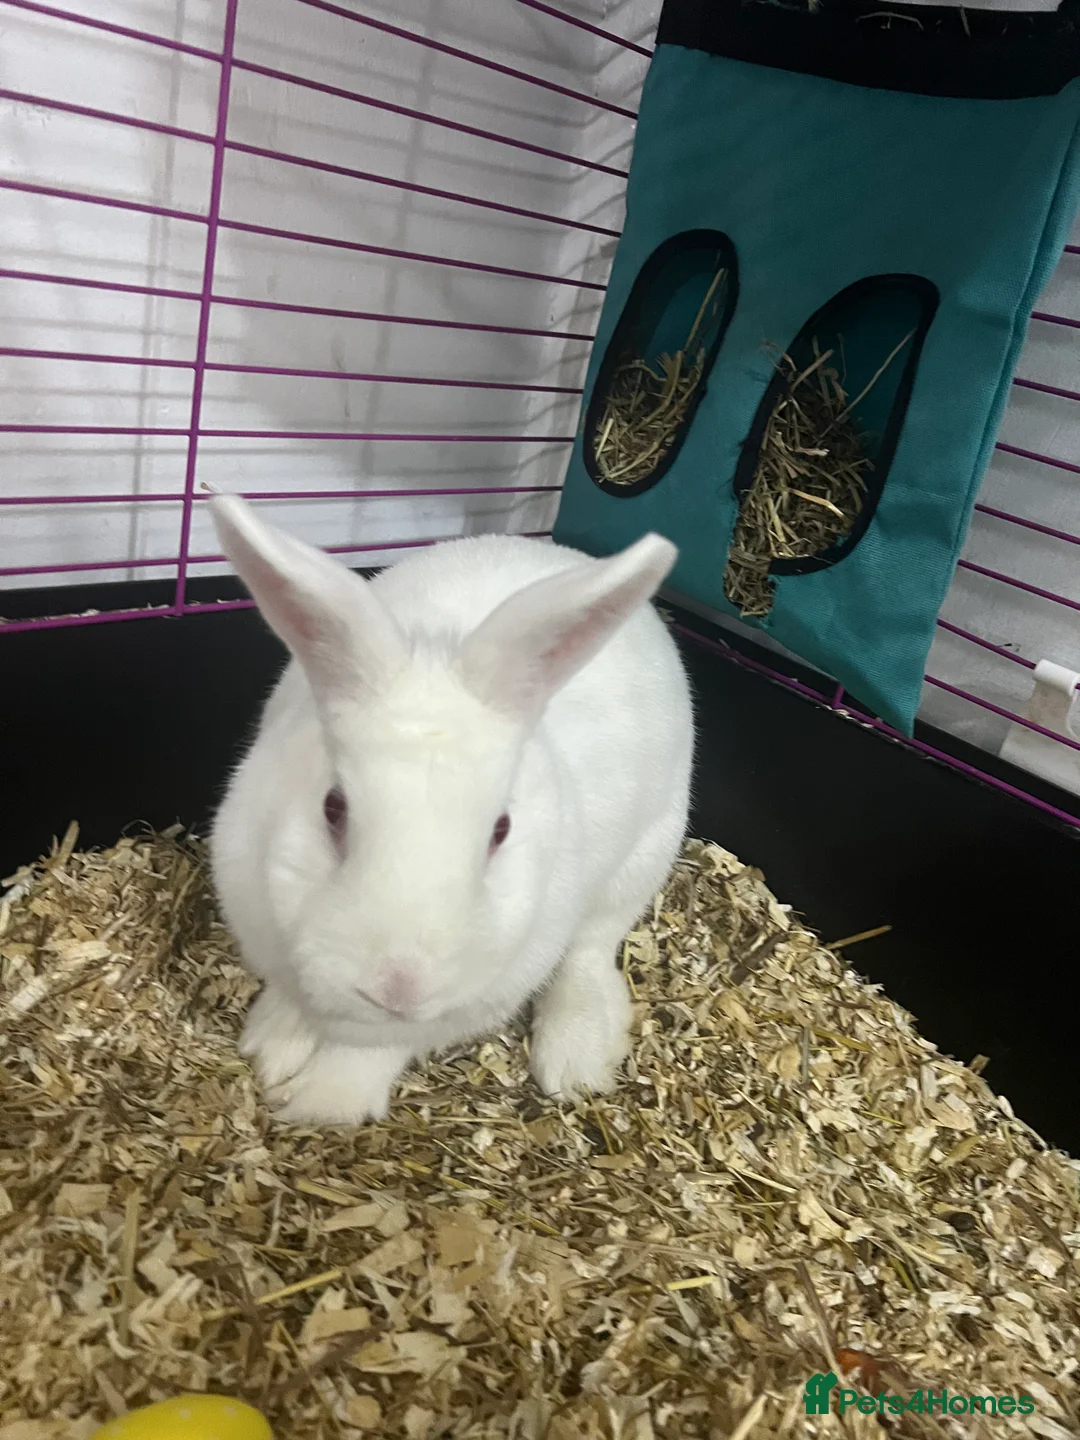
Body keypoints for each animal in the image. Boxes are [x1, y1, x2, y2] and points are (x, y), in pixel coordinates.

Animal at [208, 494, 694, 1125]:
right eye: (332, 808)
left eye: (501, 830)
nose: (399, 987)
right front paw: (270, 1050)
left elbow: (375, 1050)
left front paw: (324, 1103)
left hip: (642, 859)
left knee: (590, 951)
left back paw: (575, 1062)